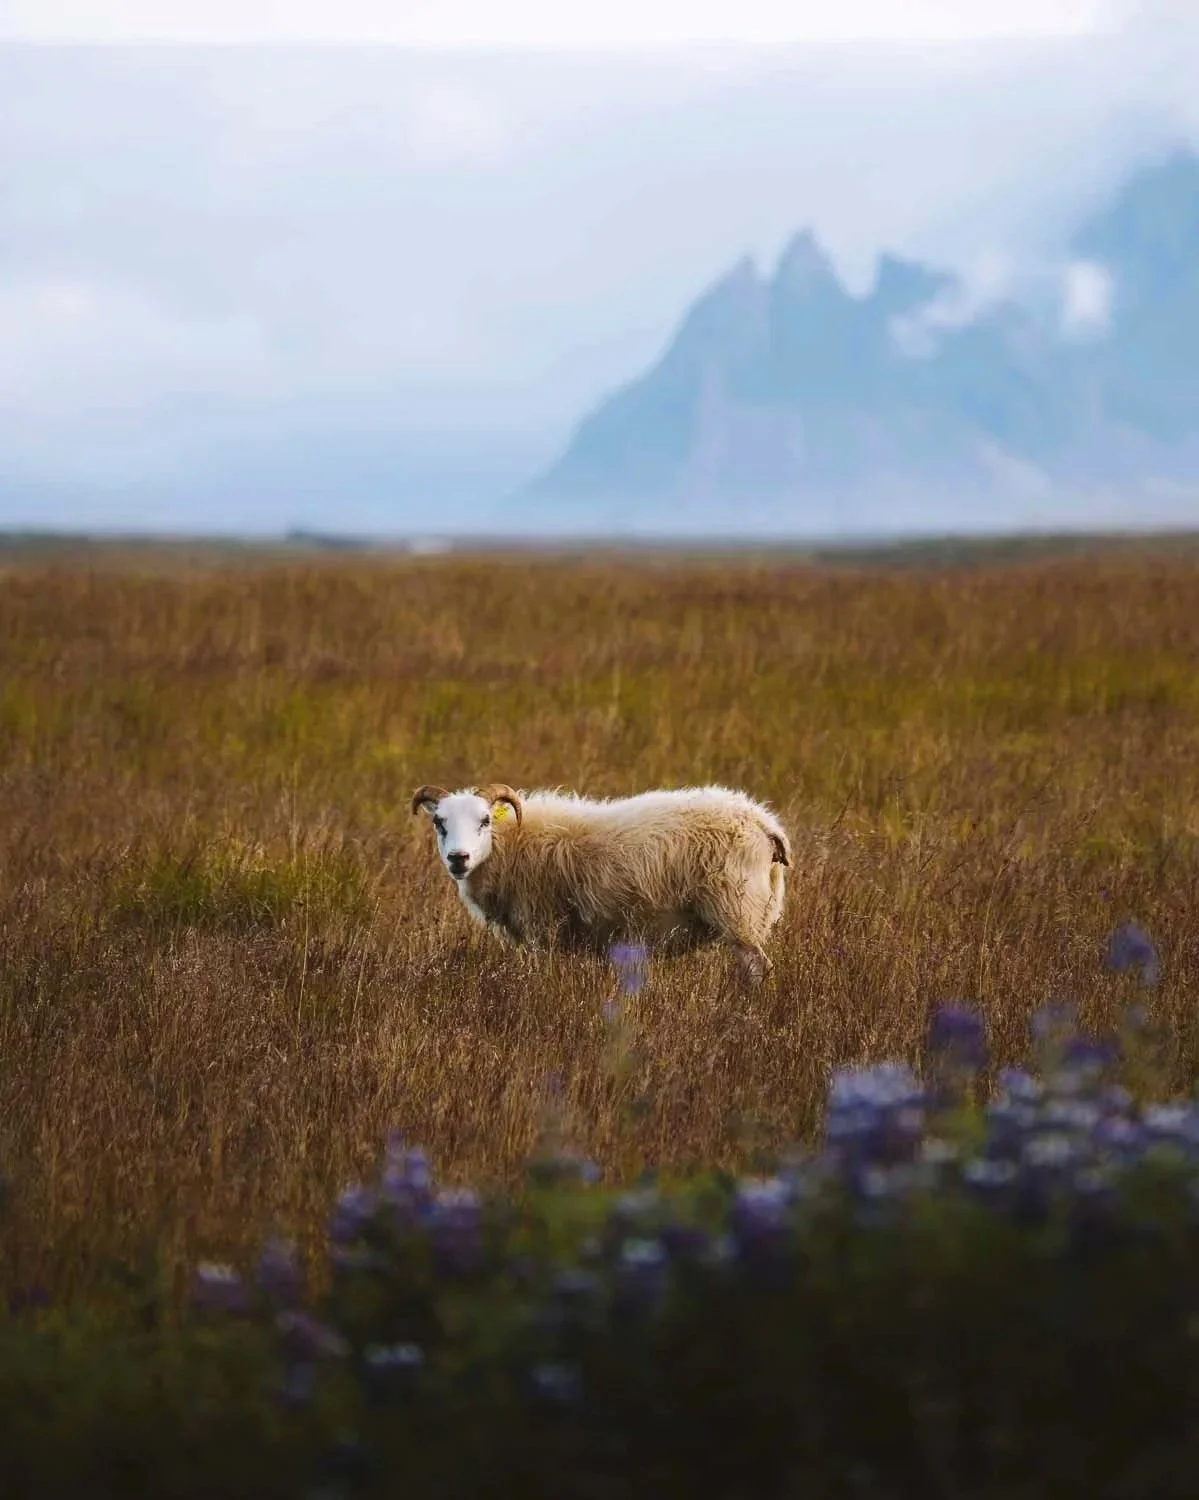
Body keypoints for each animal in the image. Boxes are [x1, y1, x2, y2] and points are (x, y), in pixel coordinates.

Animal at [410, 780, 791, 984]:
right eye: (439, 823)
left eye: (485, 820)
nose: (458, 858)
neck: (513, 841)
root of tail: (765, 824)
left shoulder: (541, 929)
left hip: (738, 910)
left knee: (759, 968)